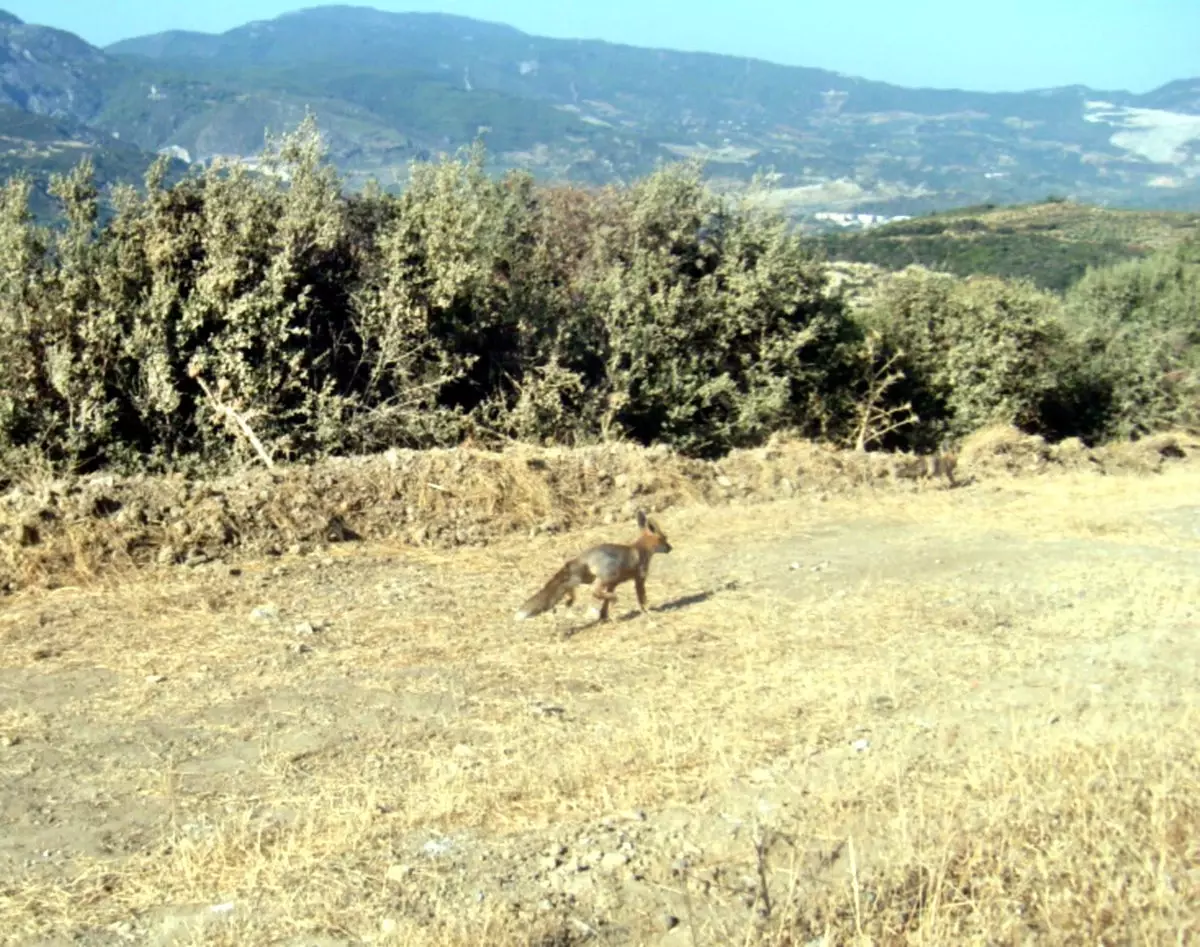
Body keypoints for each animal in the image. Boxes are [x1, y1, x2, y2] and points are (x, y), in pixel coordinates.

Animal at [511, 508, 672, 619]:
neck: (641, 549)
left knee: (571, 588)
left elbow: (605, 603)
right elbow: (642, 598)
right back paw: (612, 599)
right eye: (664, 539)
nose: (671, 548)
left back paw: (571, 600)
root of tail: (583, 556)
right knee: (594, 593)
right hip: (605, 577)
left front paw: (604, 615)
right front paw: (648, 611)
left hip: (587, 579)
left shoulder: (614, 584)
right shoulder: (639, 579)